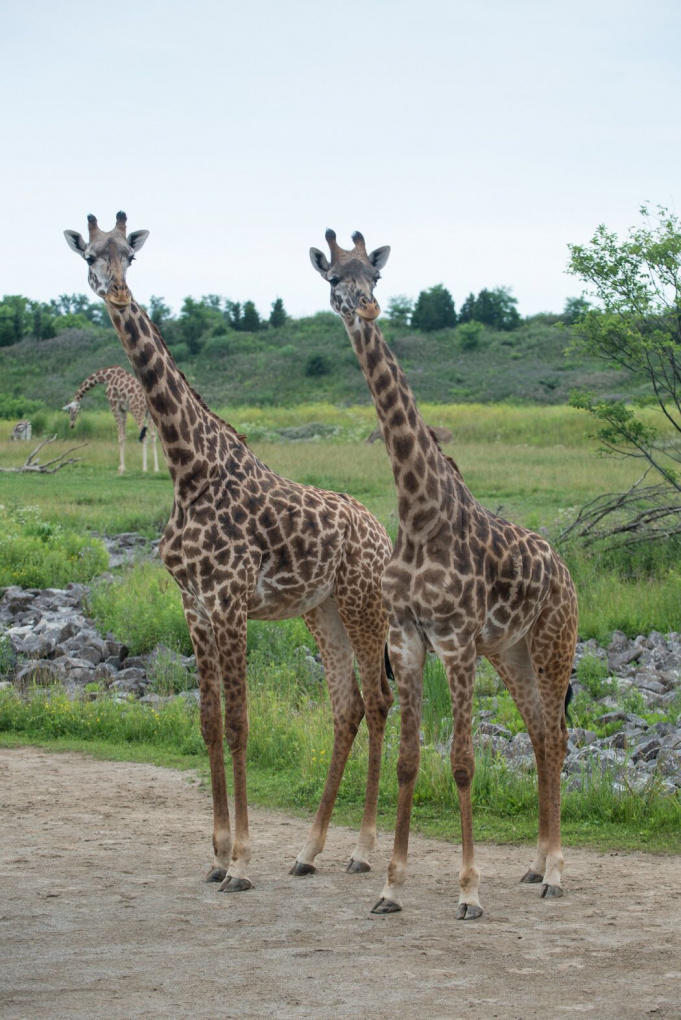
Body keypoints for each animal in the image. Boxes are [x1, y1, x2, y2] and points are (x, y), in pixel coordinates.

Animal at [63, 213, 393, 893]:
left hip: (362, 603)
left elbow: (242, 725)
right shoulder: (194, 603)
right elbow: (210, 725)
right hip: (320, 611)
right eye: (90, 256)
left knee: (378, 703)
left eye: (128, 256)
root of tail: (382, 531)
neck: (188, 469)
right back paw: (309, 852)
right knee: (346, 708)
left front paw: (241, 862)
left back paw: (362, 851)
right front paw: (216, 856)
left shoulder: (232, 599)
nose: (116, 292)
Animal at [311, 229, 579, 918]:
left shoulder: (455, 641)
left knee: (557, 737)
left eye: (375, 277)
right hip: (510, 653)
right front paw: (390, 884)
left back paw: (557, 873)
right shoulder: (408, 638)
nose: (364, 305)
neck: (418, 509)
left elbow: (461, 762)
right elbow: (410, 761)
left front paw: (469, 891)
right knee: (541, 735)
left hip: (553, 644)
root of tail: (567, 572)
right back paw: (536, 866)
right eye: (334, 278)